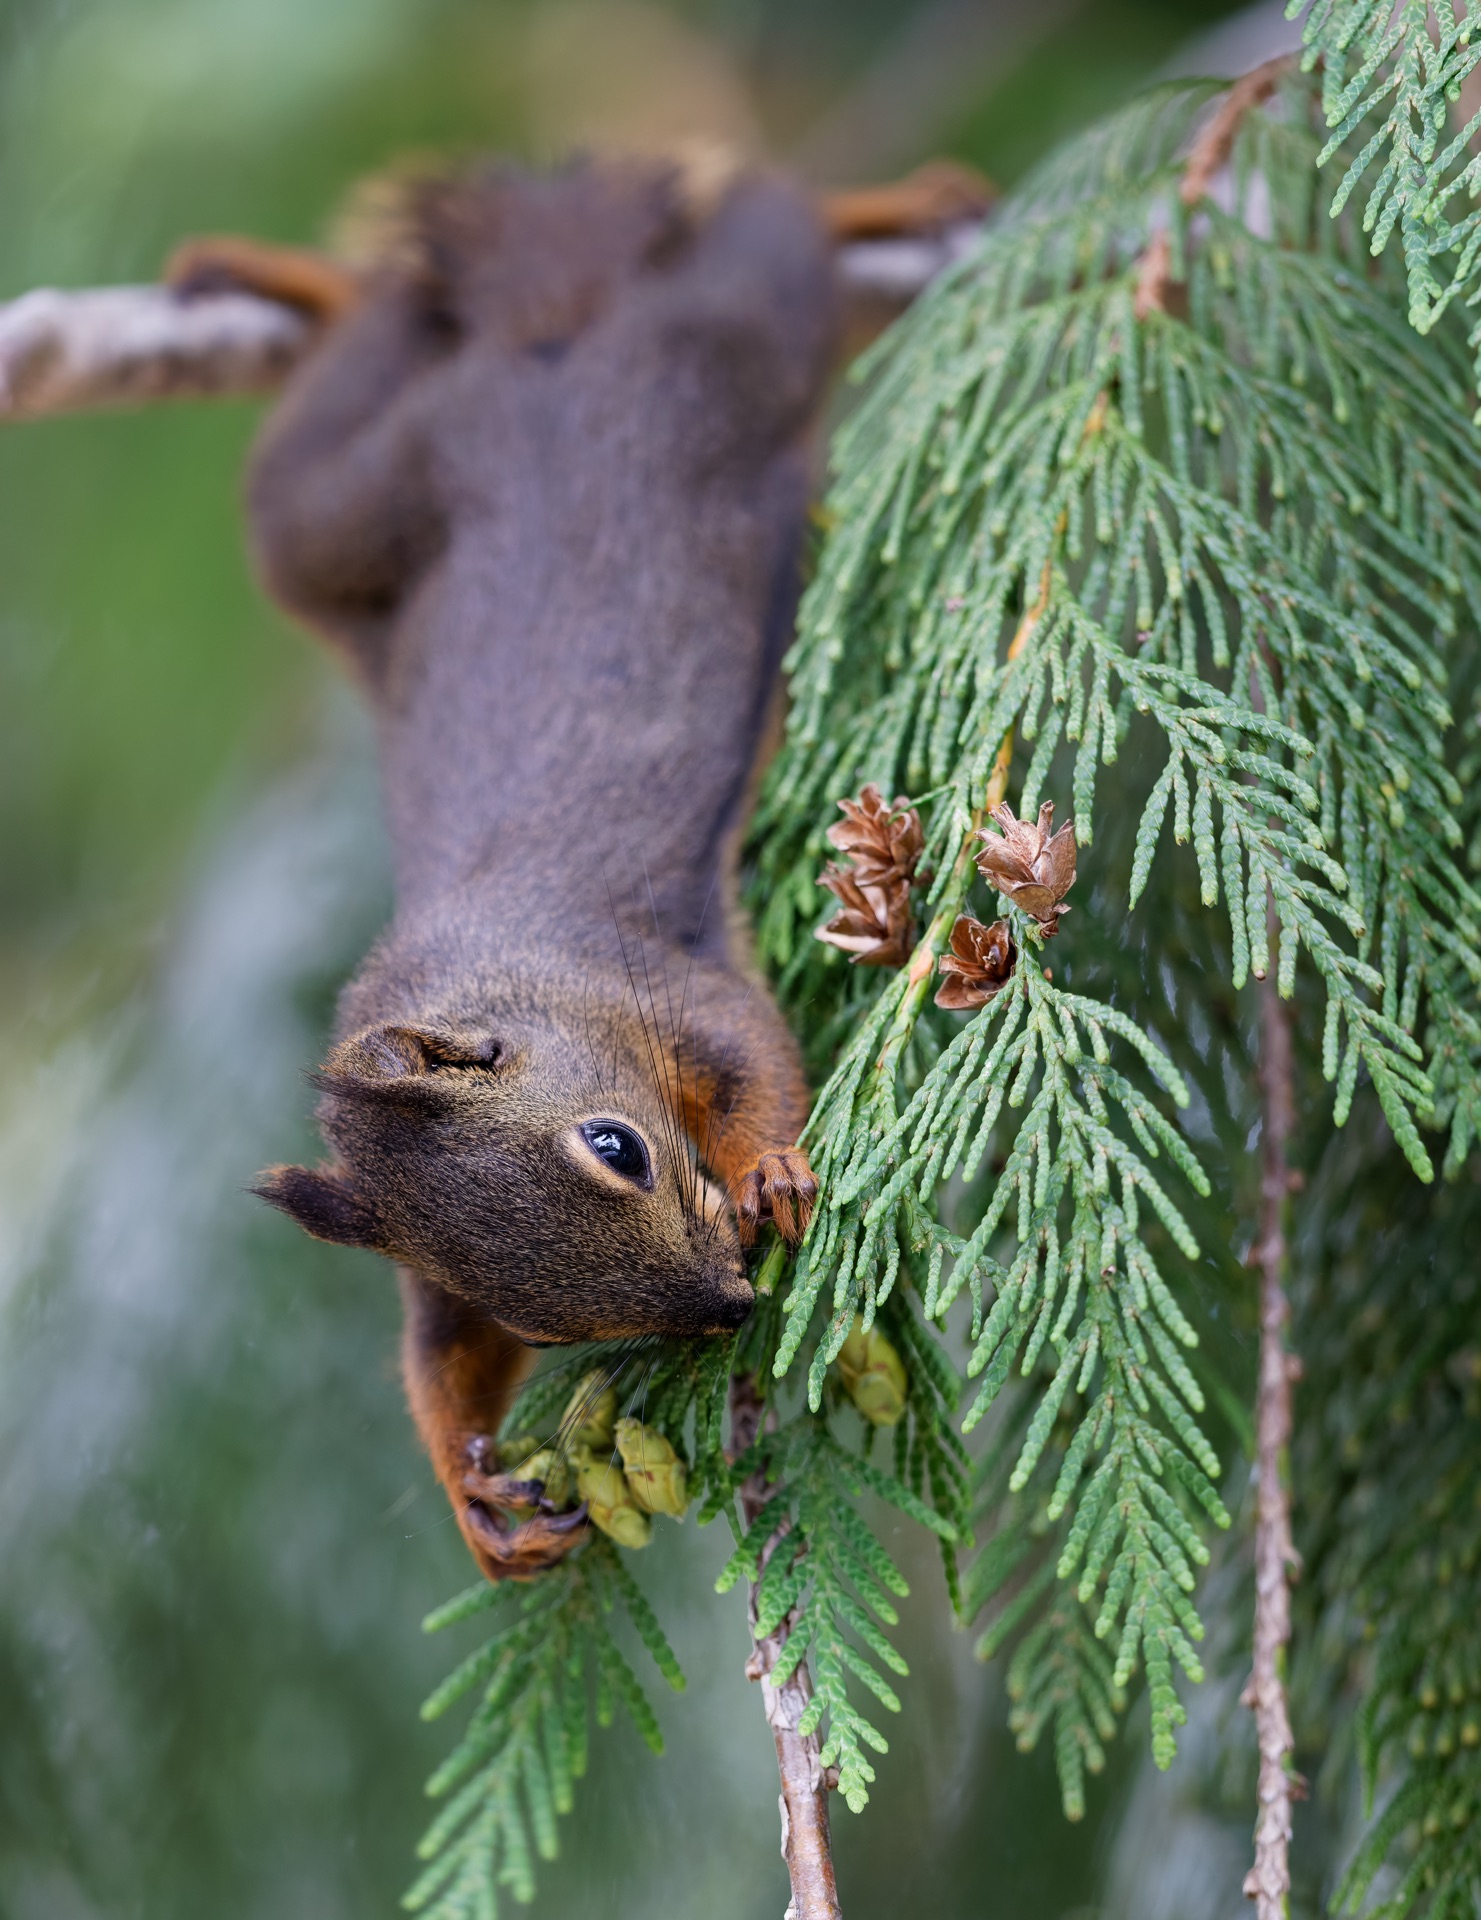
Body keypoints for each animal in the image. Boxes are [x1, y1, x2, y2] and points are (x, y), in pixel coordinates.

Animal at [168, 155, 989, 1582]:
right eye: (544, 1331)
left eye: (618, 1146)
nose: (723, 1305)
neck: (518, 984)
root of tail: (543, 340)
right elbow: (436, 1356)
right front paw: (468, 1489)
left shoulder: (663, 979)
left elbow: (755, 1059)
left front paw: (770, 1167)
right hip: (343, 518)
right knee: (343, 401)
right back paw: (312, 286)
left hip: (721, 346)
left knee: (770, 235)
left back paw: (884, 207)